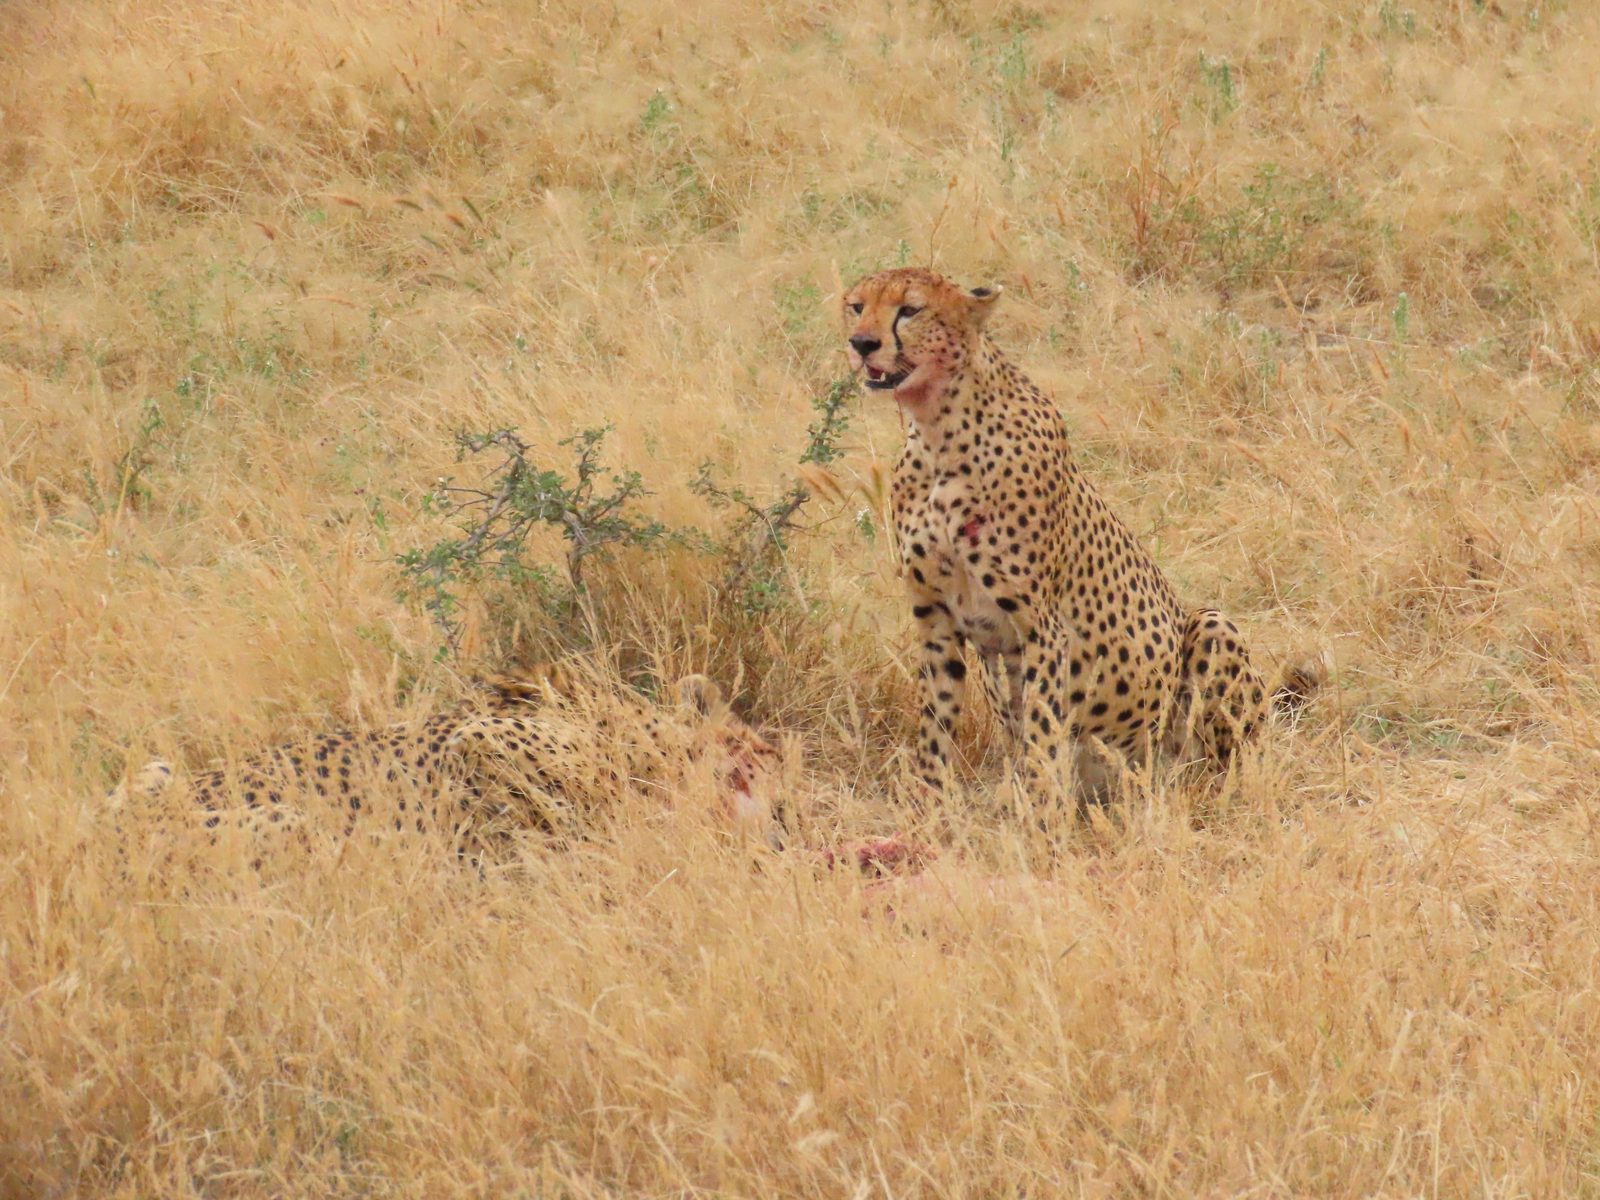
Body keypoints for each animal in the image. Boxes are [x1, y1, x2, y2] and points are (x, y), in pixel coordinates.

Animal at [841, 266, 1320, 808]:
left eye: (910, 310)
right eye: (857, 306)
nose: (862, 343)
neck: (938, 427)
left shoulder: (1041, 628)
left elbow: (1042, 729)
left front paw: (1042, 816)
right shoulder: (936, 617)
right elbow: (936, 722)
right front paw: (930, 803)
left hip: (1210, 634)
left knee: (1219, 763)